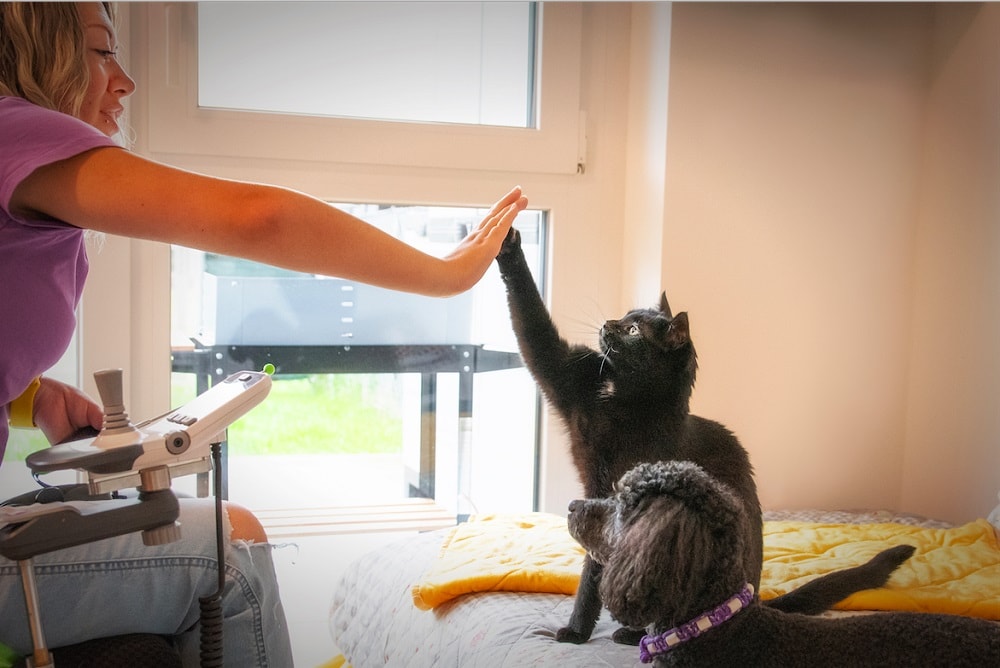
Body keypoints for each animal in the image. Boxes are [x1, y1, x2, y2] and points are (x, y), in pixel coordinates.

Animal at [496, 228, 912, 640]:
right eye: (626, 316)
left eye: (632, 330)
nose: (607, 323)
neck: (626, 399)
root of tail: (754, 598)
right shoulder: (570, 377)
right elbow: (535, 332)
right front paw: (506, 241)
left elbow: (598, 567)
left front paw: (580, 630)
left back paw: (634, 633)